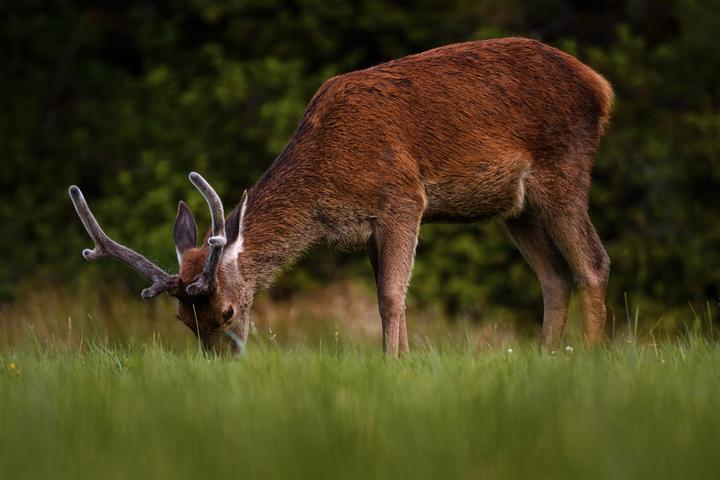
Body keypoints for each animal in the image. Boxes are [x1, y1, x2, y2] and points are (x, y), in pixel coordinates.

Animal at [69, 37, 613, 356]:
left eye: (226, 312)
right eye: (184, 320)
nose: (225, 366)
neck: (325, 190)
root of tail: (600, 87)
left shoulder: (403, 197)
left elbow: (392, 296)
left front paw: (392, 366)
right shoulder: (370, 228)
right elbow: (388, 297)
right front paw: (403, 361)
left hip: (563, 165)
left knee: (593, 263)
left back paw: (589, 358)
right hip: (514, 206)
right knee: (554, 277)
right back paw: (548, 356)